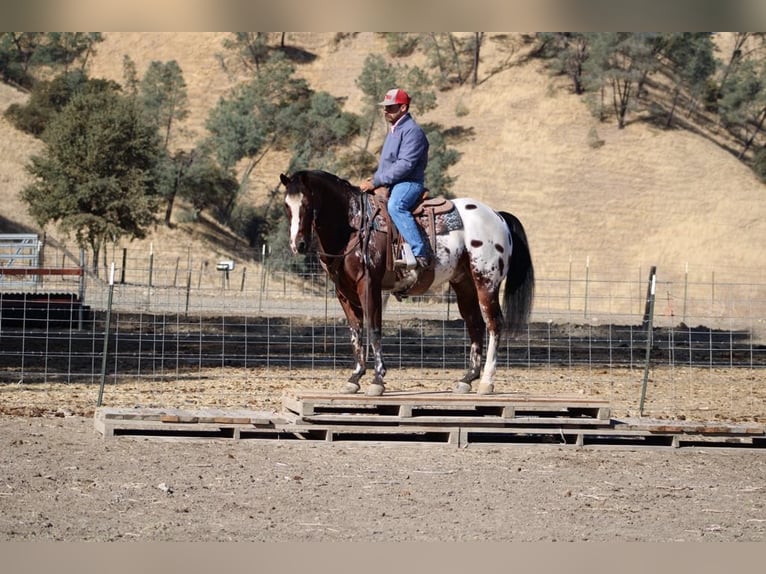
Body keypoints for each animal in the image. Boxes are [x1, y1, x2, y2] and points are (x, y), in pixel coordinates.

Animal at [280, 169, 536, 398]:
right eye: (286, 206)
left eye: (307, 203)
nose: (298, 245)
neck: (353, 224)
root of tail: (497, 215)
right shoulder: (343, 291)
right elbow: (355, 331)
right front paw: (355, 378)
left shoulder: (370, 285)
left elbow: (373, 328)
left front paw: (377, 380)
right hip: (464, 284)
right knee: (475, 324)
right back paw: (467, 379)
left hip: (486, 281)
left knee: (494, 324)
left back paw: (486, 382)